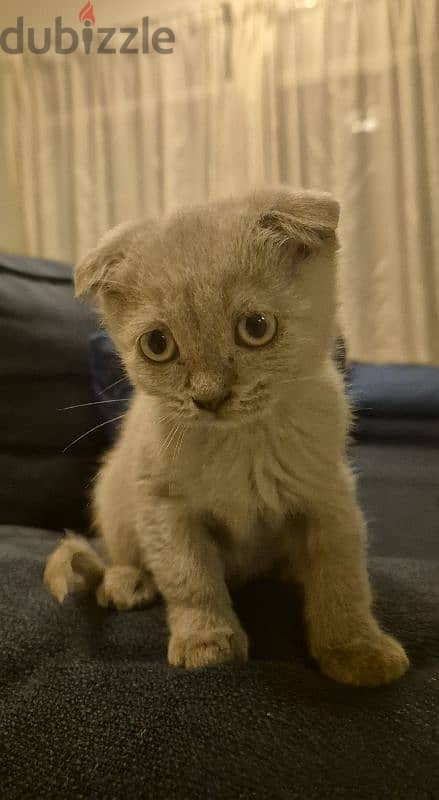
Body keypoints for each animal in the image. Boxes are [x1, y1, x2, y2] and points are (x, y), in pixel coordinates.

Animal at [44, 189, 410, 688]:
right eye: (157, 344)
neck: (242, 446)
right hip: (112, 491)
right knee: (116, 553)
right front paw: (206, 642)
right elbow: (189, 576)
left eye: (255, 327)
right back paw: (126, 582)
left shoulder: (330, 495)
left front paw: (356, 648)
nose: (209, 396)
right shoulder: (162, 505)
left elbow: (342, 577)